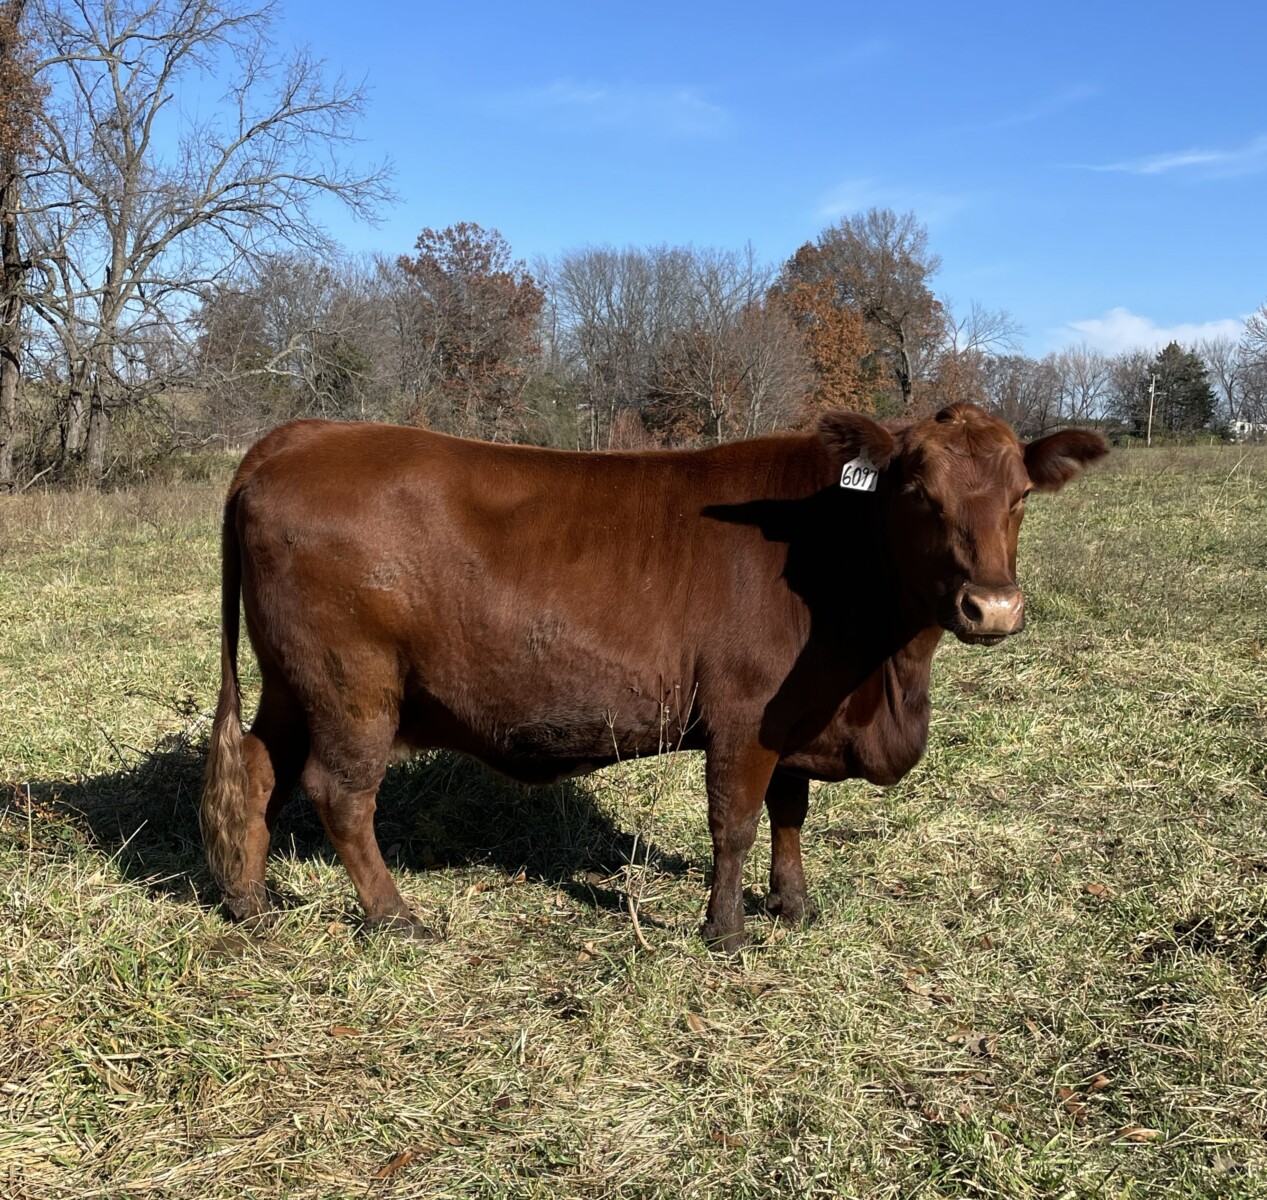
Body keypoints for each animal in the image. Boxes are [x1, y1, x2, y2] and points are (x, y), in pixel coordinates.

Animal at [200, 403, 1106, 952]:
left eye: (1020, 495)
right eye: (918, 490)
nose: (991, 606)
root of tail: (301, 435)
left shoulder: (796, 716)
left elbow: (790, 813)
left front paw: (793, 904)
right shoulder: (745, 714)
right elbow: (734, 823)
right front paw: (726, 929)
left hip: (291, 684)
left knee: (259, 770)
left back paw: (248, 902)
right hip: (354, 689)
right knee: (340, 796)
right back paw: (397, 918)